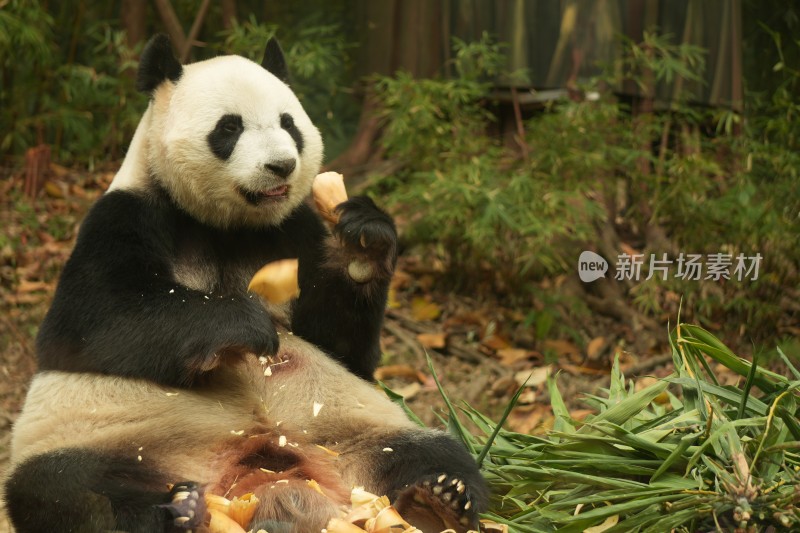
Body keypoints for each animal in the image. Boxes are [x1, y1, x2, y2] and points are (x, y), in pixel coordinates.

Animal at [3, 35, 488, 528]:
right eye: (229, 127)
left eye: (289, 123)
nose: (282, 166)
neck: (229, 225)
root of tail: (265, 484)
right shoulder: (126, 214)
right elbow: (93, 321)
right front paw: (245, 327)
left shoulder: (295, 231)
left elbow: (343, 347)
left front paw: (365, 243)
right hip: (116, 437)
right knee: (65, 488)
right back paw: (176, 510)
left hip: (354, 429)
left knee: (434, 452)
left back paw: (438, 499)